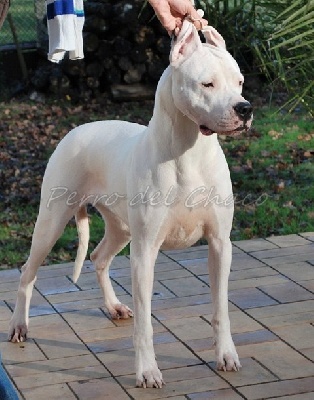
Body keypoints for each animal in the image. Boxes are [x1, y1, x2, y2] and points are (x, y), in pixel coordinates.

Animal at [8, 20, 253, 390]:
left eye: (239, 82)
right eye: (207, 83)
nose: (245, 108)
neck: (189, 153)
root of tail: (77, 129)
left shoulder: (220, 244)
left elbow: (221, 309)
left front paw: (226, 355)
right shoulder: (145, 253)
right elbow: (145, 325)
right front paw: (147, 371)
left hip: (120, 228)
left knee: (98, 257)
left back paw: (113, 307)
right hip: (52, 221)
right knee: (27, 271)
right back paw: (19, 326)